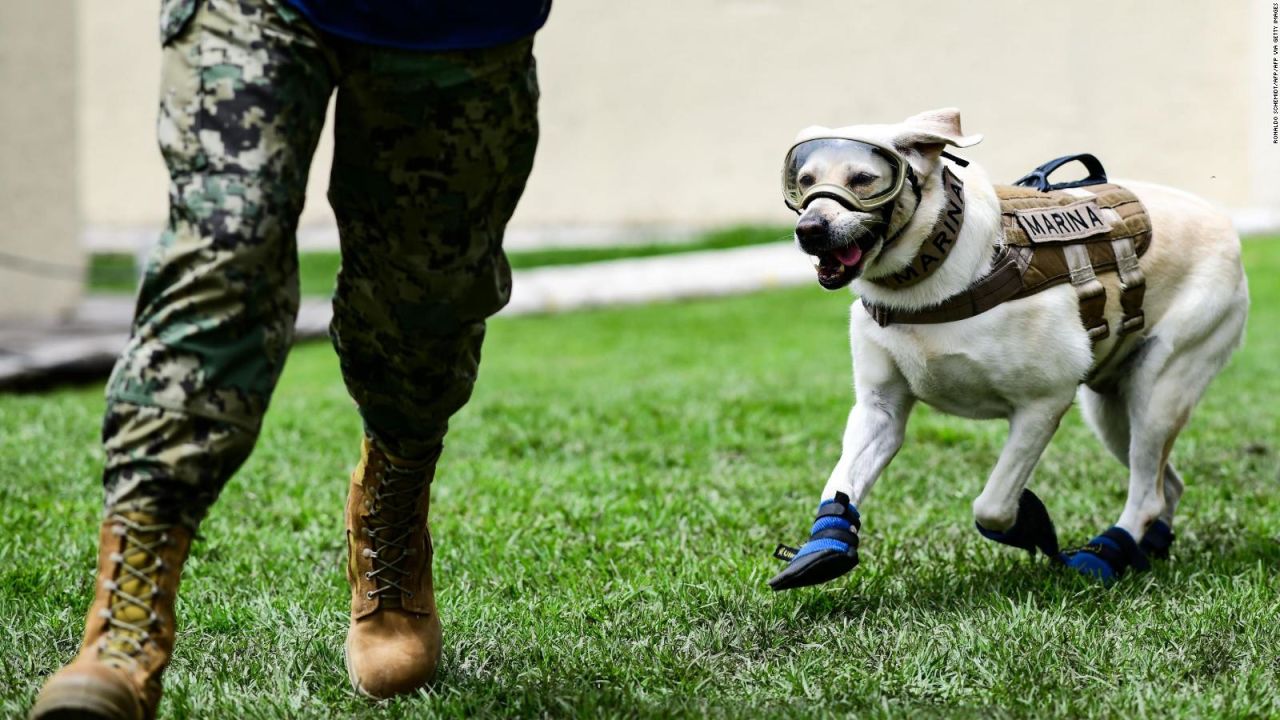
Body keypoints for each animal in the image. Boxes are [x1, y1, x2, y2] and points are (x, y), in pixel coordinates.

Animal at [768, 107, 1249, 589]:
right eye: (805, 180)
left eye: (864, 178)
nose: (809, 230)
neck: (926, 279)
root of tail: (1224, 223)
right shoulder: (878, 409)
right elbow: (842, 480)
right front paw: (825, 545)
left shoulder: (1044, 403)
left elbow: (993, 505)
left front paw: (1031, 524)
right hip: (1111, 412)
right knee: (1167, 486)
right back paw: (1144, 548)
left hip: (1158, 389)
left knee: (1147, 492)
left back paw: (1108, 552)